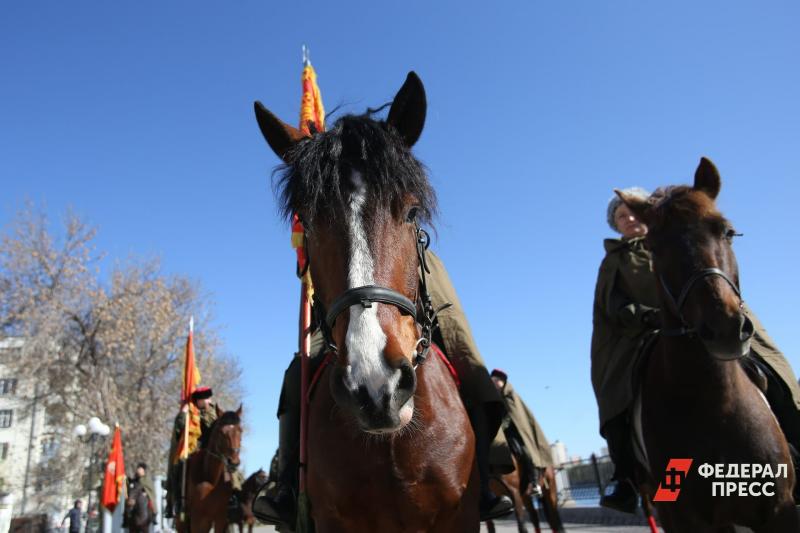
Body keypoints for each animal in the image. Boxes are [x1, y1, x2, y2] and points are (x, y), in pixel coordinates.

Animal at [620, 159, 800, 532]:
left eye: (727, 232)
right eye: (654, 246)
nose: (726, 327)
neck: (714, 401)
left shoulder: (781, 509)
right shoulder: (686, 519)